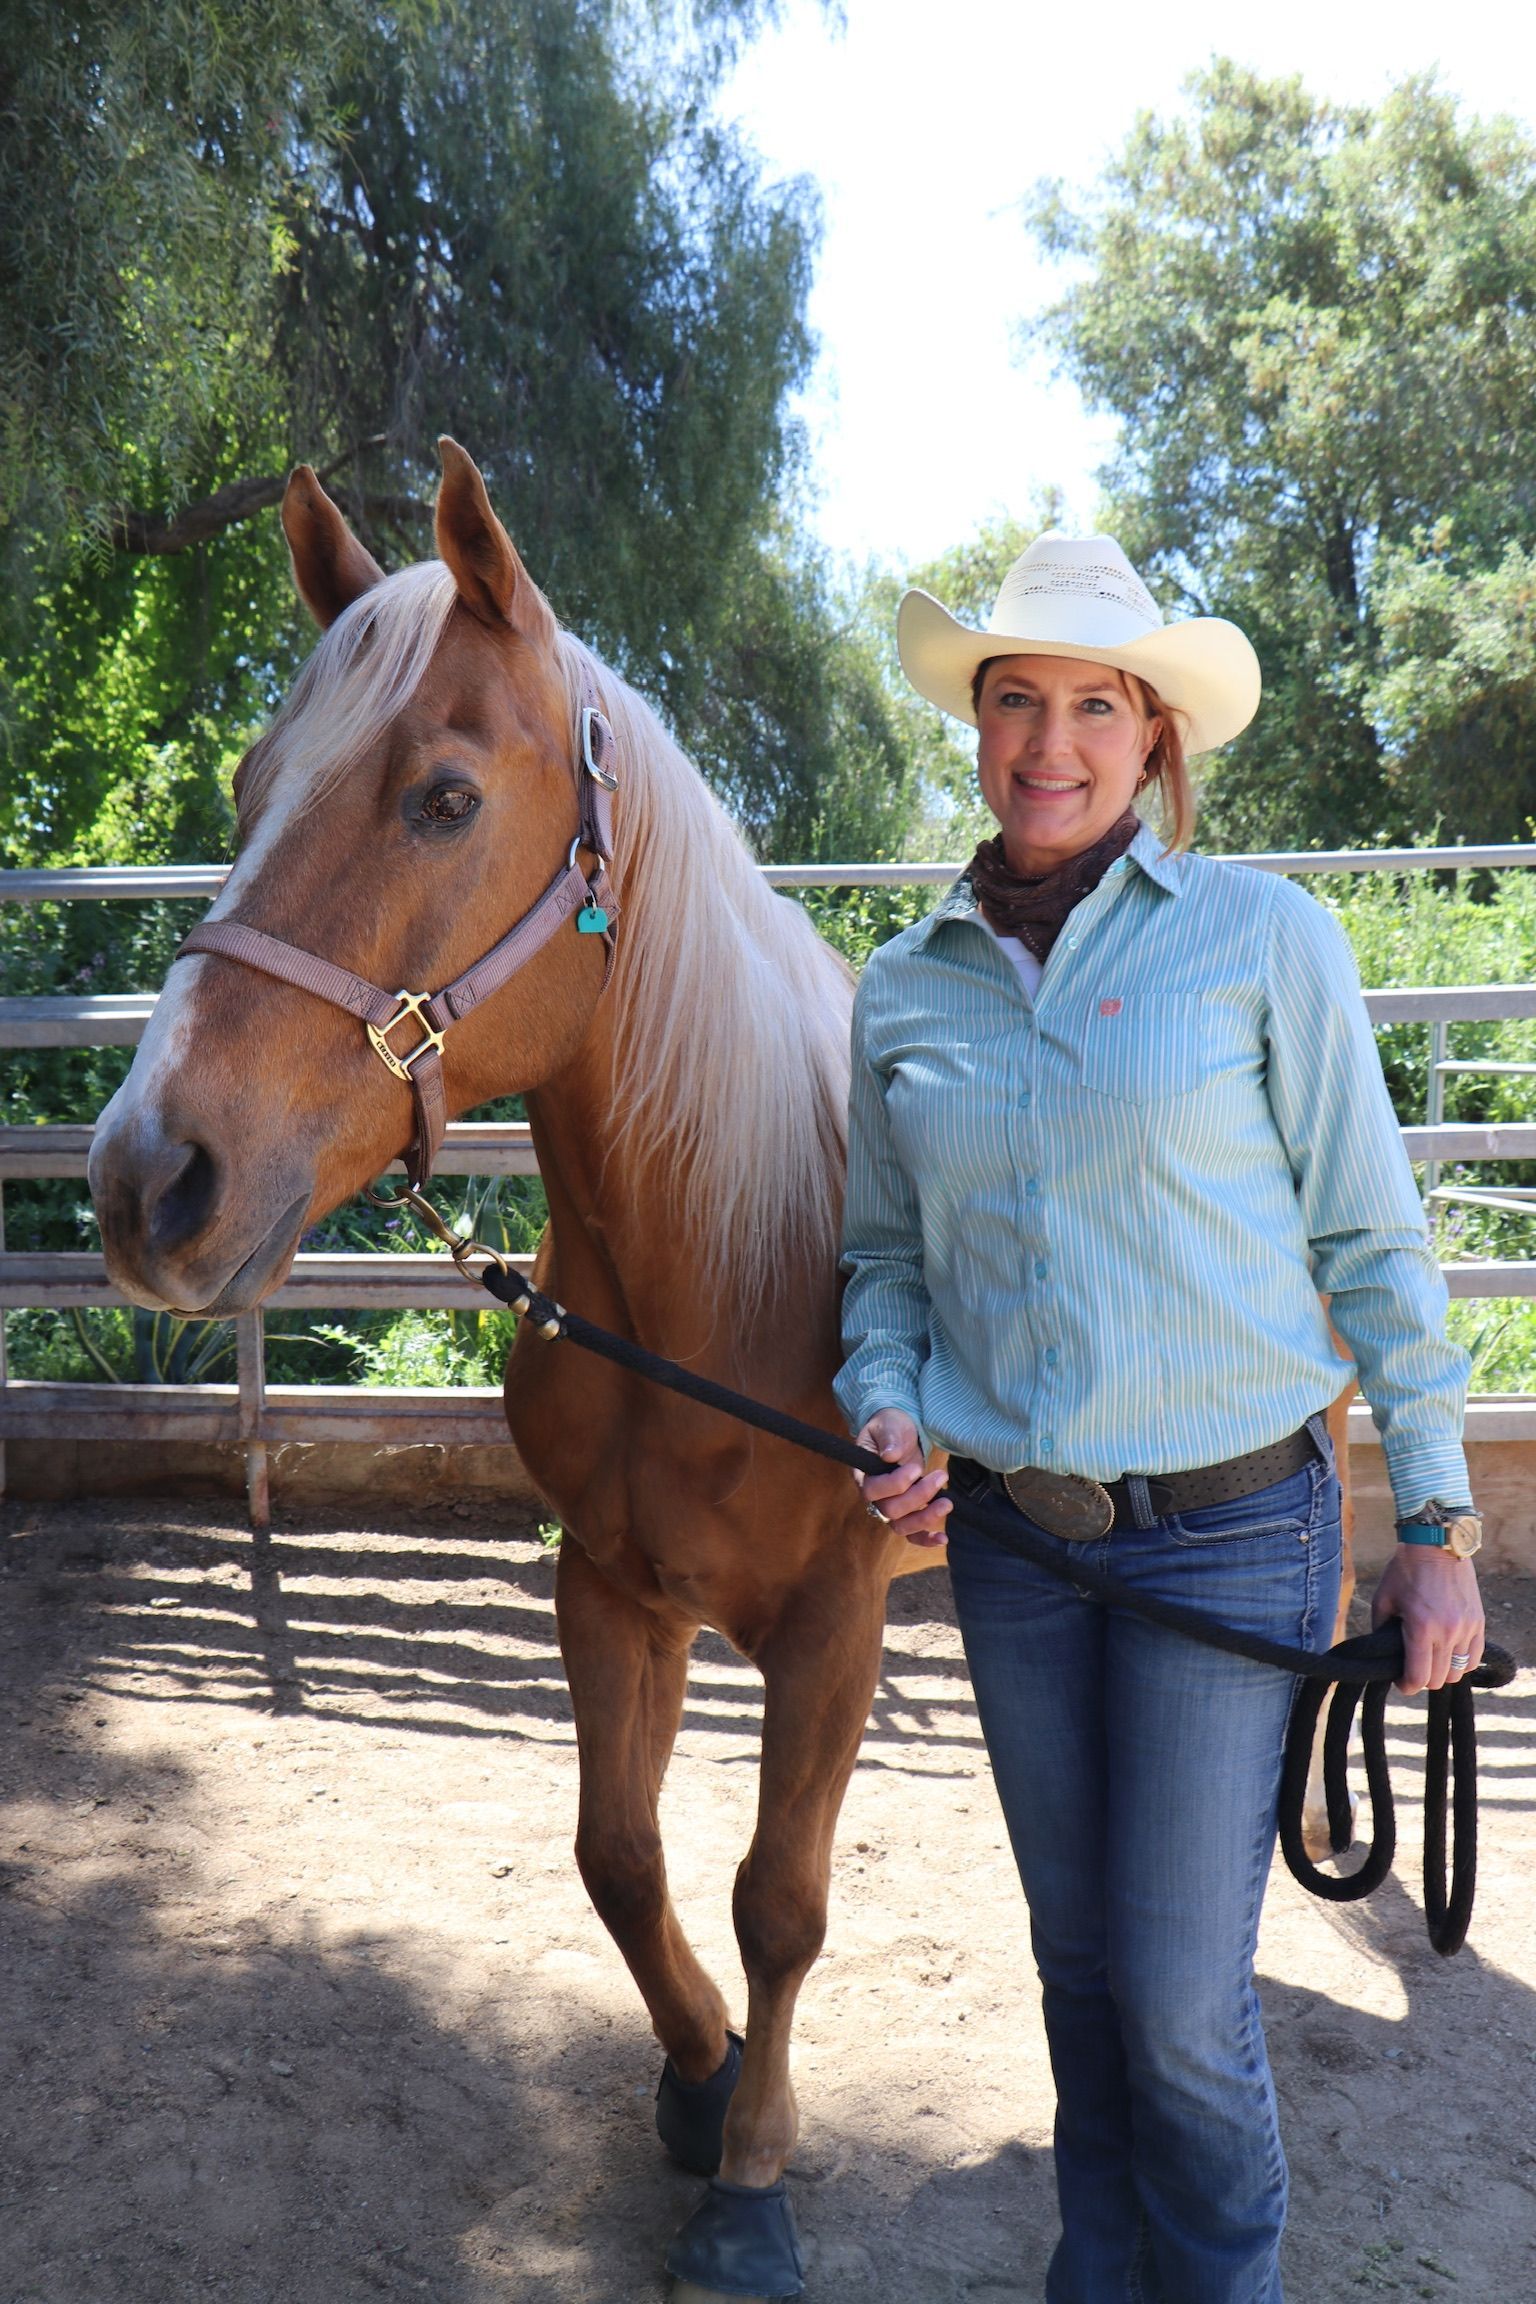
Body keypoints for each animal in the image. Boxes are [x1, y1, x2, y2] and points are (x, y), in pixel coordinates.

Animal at [89, 439, 913, 2302]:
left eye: (447, 800)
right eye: (247, 786)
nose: (148, 1176)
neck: (736, 1263)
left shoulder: (835, 1624)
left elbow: (782, 1899)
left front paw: (753, 2177)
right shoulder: (607, 1589)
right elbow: (621, 1858)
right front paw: (699, 2077)